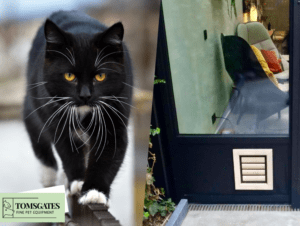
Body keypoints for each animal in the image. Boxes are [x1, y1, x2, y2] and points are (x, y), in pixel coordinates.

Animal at [22, 10, 132, 205]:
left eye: (100, 76)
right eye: (69, 75)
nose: (85, 95)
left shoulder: (115, 114)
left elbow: (109, 153)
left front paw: (94, 192)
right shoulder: (56, 117)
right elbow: (67, 151)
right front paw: (78, 182)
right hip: (32, 102)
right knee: (36, 134)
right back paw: (49, 174)